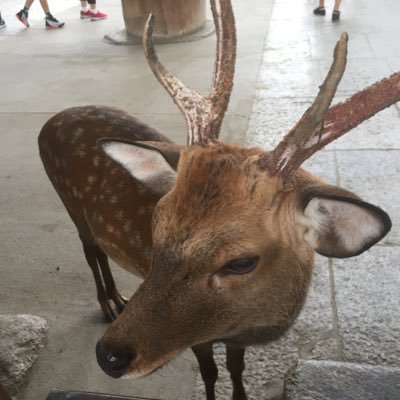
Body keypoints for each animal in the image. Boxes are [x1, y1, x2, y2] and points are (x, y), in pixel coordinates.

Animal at [38, 0, 400, 400]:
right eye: (156, 224)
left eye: (241, 262)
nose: (109, 356)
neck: (251, 323)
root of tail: (49, 123)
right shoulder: (199, 338)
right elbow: (210, 372)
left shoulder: (235, 335)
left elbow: (235, 368)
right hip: (69, 203)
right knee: (91, 252)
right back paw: (109, 305)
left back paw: (117, 300)